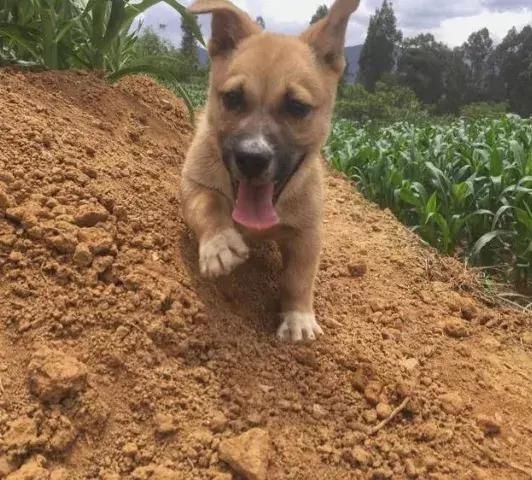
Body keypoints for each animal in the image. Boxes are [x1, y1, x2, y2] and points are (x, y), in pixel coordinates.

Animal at [181, 0, 360, 342]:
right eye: (232, 98)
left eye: (297, 107)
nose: (252, 158)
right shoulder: (194, 183)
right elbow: (208, 205)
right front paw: (219, 243)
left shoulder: (308, 233)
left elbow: (298, 278)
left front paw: (298, 316)